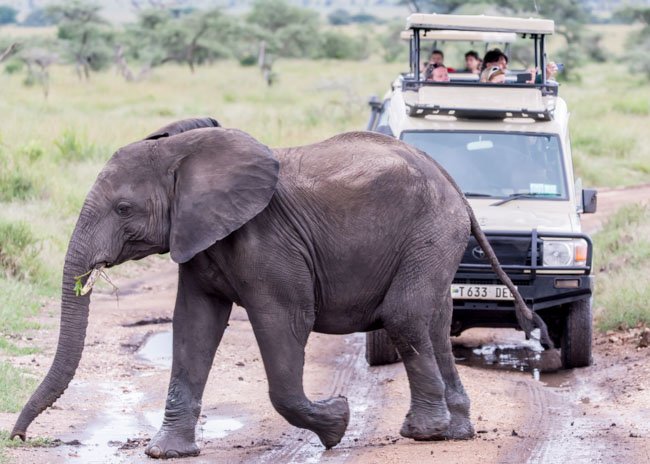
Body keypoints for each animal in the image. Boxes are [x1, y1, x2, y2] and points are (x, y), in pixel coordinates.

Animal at [10, 118, 548, 458]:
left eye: (123, 209)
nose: (17, 438)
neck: (185, 150)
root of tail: (457, 187)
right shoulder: (201, 238)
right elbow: (193, 325)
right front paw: (165, 453)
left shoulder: (268, 242)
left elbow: (285, 320)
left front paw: (337, 422)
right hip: (436, 240)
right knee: (434, 322)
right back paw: (455, 432)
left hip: (429, 231)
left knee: (405, 316)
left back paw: (422, 433)